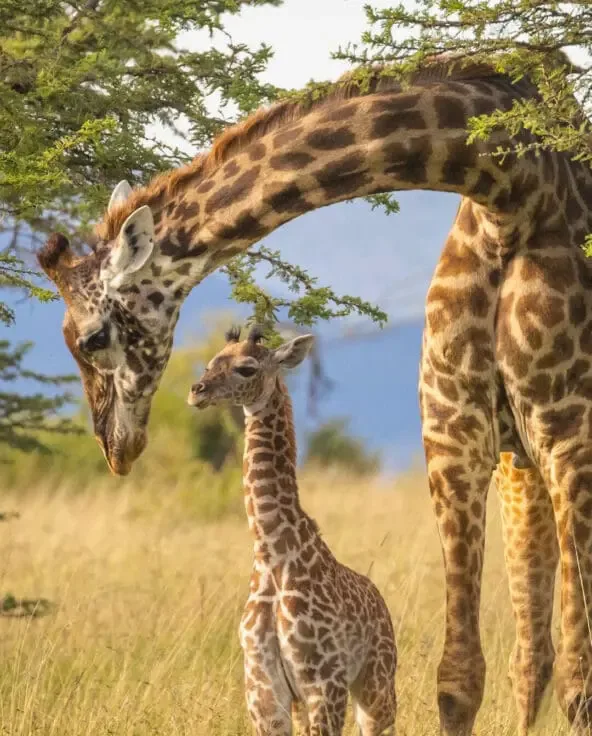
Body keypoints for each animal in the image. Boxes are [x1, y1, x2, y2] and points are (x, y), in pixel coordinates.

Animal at [187, 324, 397, 736]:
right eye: (211, 361)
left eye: (247, 368)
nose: (197, 391)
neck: (272, 552)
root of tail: (381, 602)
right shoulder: (264, 690)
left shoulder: (324, 681)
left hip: (376, 686)